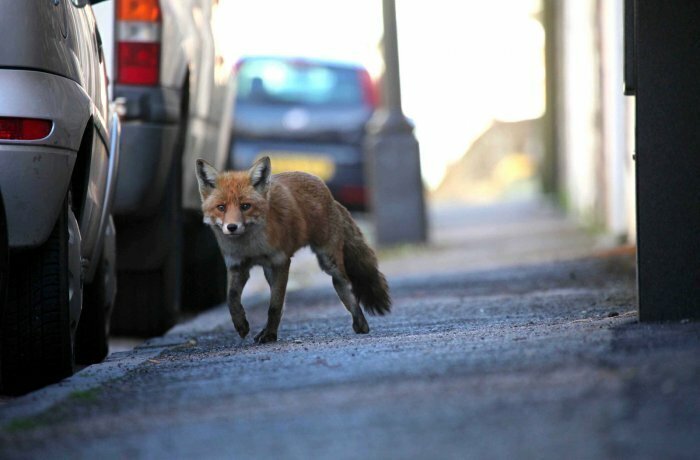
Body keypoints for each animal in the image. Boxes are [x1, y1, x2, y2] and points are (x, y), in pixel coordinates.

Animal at [194, 156, 392, 344]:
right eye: (221, 207)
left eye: (245, 206)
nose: (232, 227)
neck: (251, 247)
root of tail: (330, 195)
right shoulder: (238, 266)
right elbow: (232, 299)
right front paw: (241, 324)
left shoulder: (280, 262)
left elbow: (274, 306)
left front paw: (270, 335)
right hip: (272, 271)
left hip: (329, 262)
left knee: (346, 288)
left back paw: (361, 323)